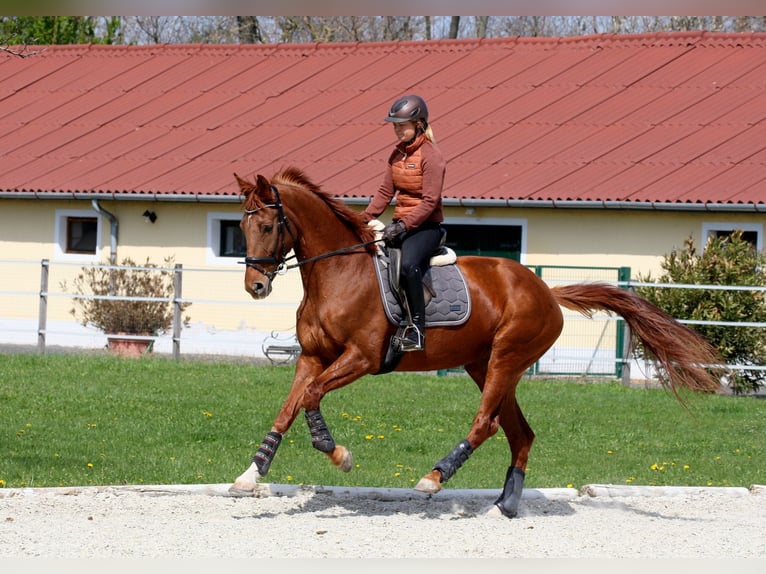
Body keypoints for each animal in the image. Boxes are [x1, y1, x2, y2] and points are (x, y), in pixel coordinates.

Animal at [229, 166, 722, 518]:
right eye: (241, 227)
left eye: (269, 226)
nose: (256, 287)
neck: (337, 274)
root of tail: (546, 291)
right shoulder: (313, 358)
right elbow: (289, 408)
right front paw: (250, 475)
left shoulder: (361, 358)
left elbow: (311, 398)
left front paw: (339, 454)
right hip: (484, 366)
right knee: (520, 432)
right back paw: (504, 505)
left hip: (506, 358)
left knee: (486, 423)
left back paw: (434, 477)